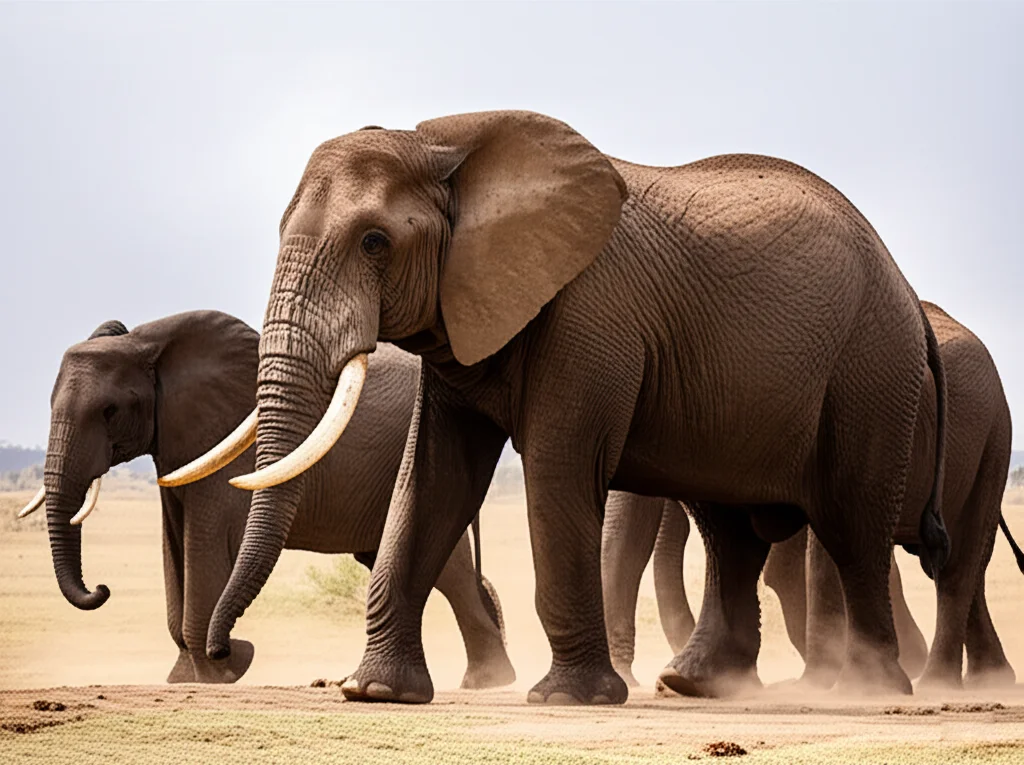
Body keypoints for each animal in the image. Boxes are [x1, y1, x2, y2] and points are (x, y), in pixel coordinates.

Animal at [22, 310, 514, 688]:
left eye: (109, 411)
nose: (101, 589)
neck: (147, 342)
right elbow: (173, 551)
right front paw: (182, 679)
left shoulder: (221, 446)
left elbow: (202, 549)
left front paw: (218, 675)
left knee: (451, 572)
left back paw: (488, 682)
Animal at [164, 109, 950, 704]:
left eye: (375, 242)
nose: (229, 650)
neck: (449, 148)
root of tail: (907, 288)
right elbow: (432, 480)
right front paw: (375, 691)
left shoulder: (590, 315)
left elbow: (557, 469)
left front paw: (571, 698)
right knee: (730, 528)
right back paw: (699, 685)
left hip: (871, 365)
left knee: (851, 520)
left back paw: (869, 689)